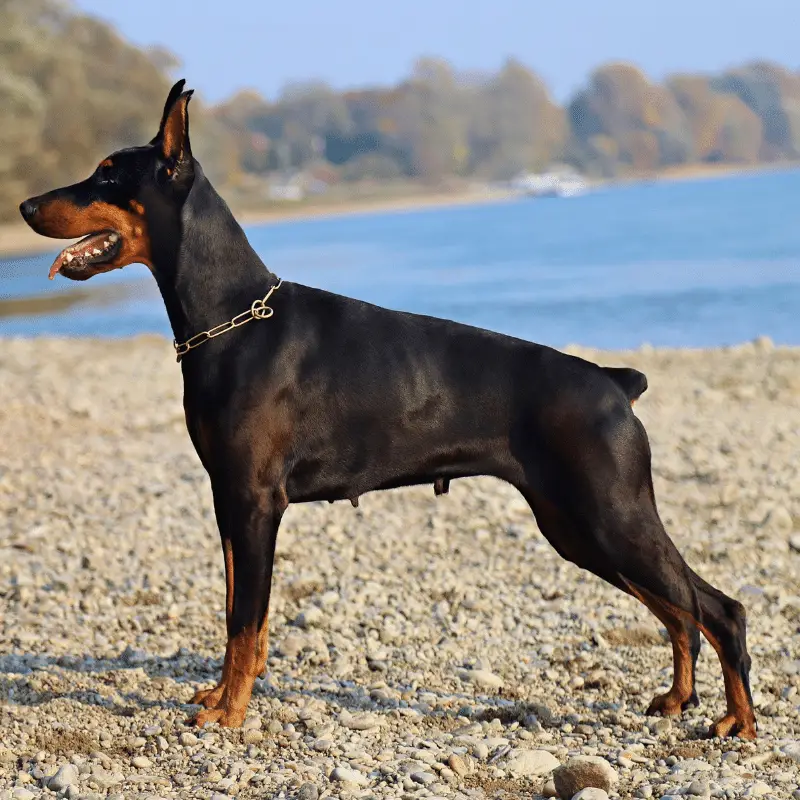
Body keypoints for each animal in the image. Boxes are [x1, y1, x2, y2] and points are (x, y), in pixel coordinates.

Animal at [18, 79, 756, 736]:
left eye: (107, 175)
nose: (24, 205)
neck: (232, 317)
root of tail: (614, 382)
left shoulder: (255, 501)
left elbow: (244, 621)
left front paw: (229, 715)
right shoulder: (229, 500)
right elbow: (235, 612)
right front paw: (219, 697)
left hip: (607, 514)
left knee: (718, 608)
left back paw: (737, 723)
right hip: (577, 527)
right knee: (680, 611)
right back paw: (677, 699)